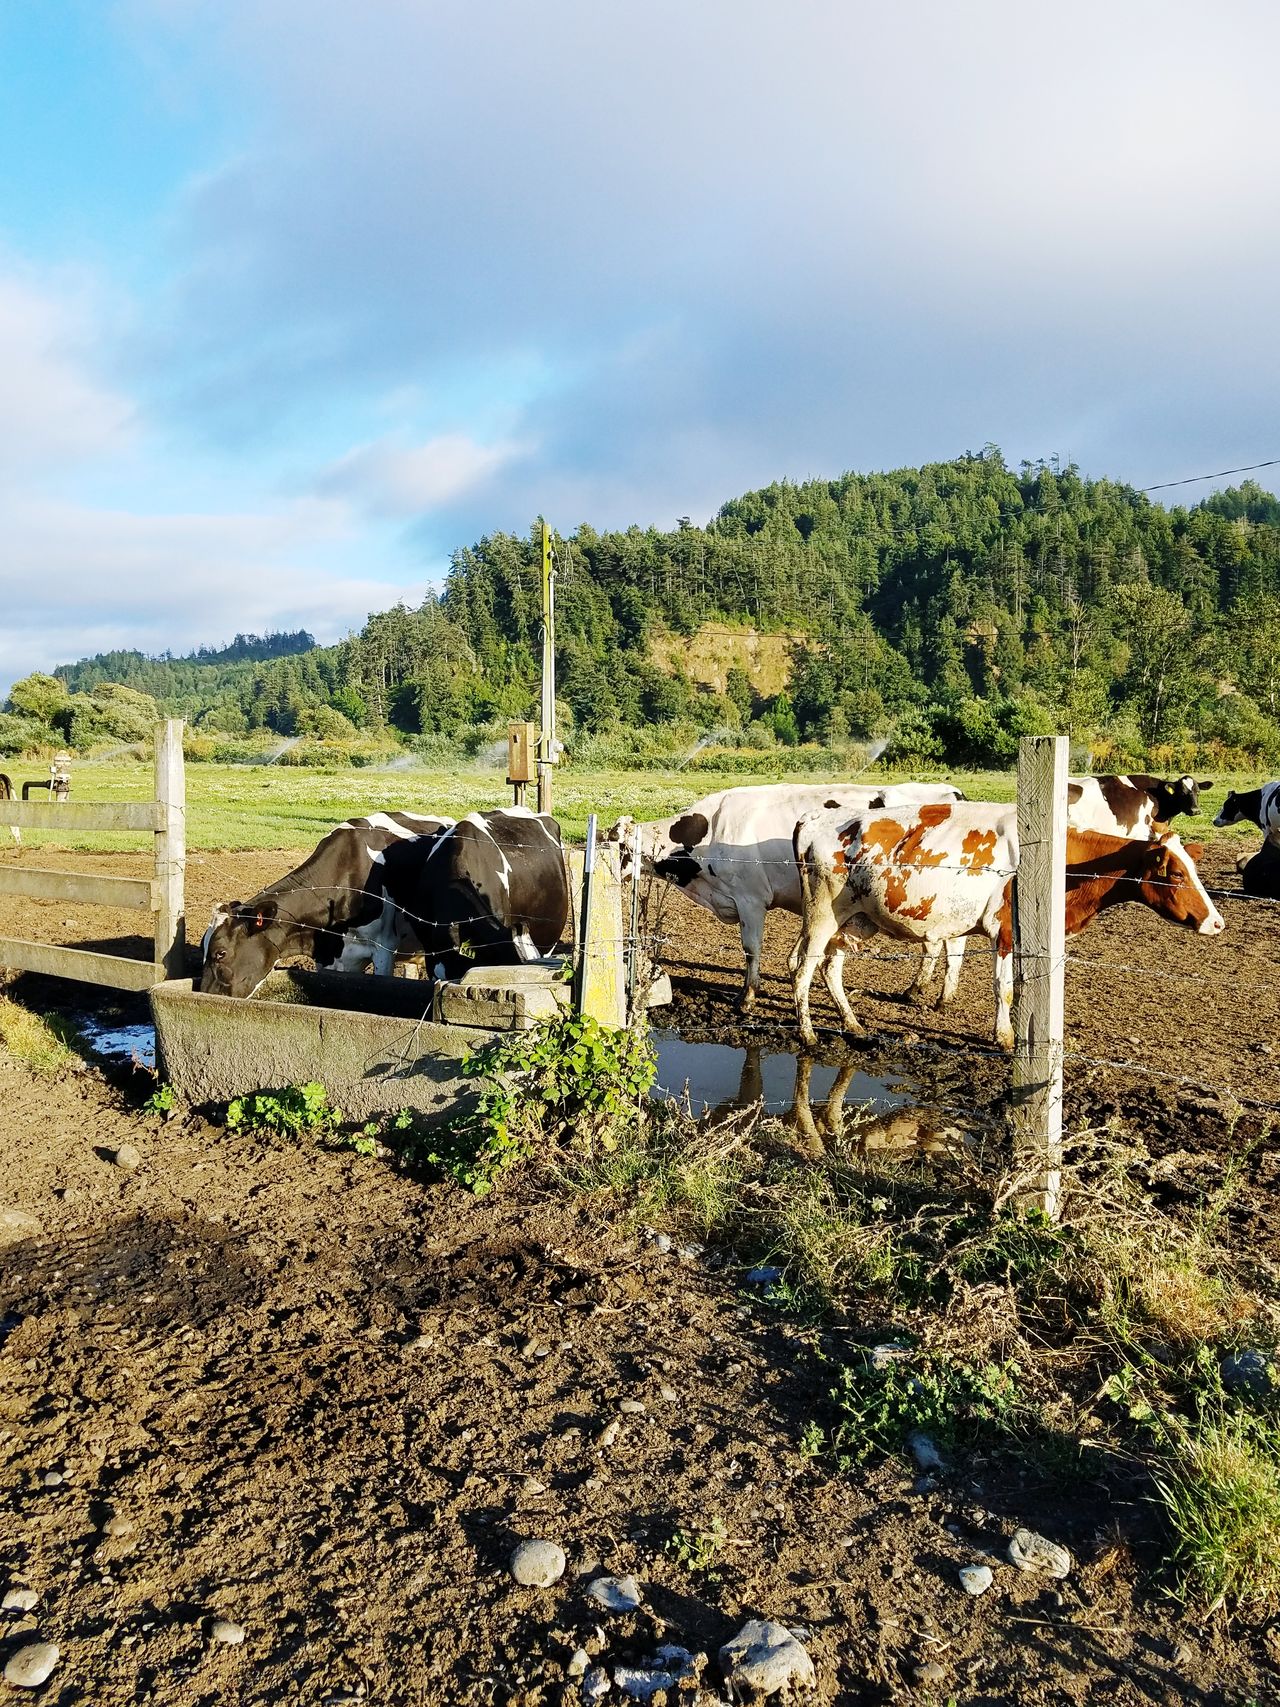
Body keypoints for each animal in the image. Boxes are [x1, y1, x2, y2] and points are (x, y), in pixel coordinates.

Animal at [798, 802, 1228, 1051]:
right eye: (1175, 874)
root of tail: (814, 817)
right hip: (821, 916)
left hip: (855, 921)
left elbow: (1021, 988)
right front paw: (1004, 1038)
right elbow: (1003, 990)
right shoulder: (1005, 931)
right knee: (803, 971)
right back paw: (807, 1033)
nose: (1217, 922)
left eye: (1193, 868)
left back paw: (852, 1023)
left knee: (831, 969)